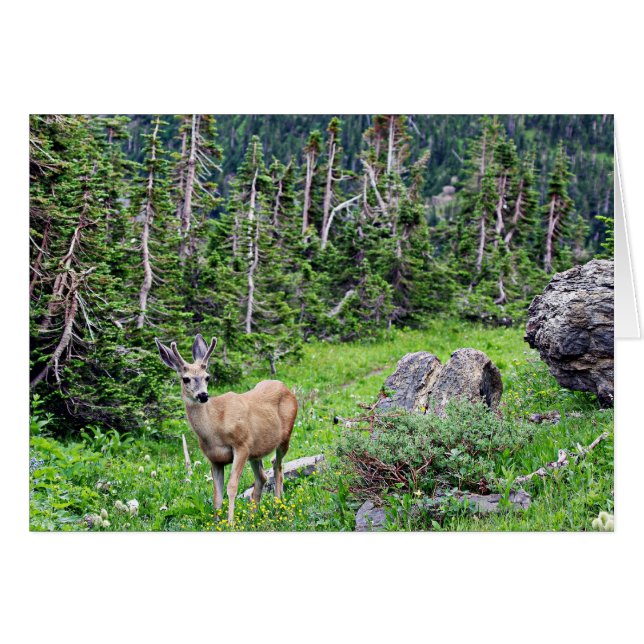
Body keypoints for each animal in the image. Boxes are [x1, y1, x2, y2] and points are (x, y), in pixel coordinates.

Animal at [155, 334, 298, 525]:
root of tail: (286, 388)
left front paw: (230, 523)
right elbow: (217, 494)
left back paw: (278, 505)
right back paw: (253, 515)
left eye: (207, 377)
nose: (203, 395)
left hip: (285, 437)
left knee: (278, 467)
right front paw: (216, 522)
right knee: (262, 476)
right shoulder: (214, 459)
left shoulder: (241, 445)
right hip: (256, 451)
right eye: (186, 379)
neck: (214, 428)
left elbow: (231, 487)